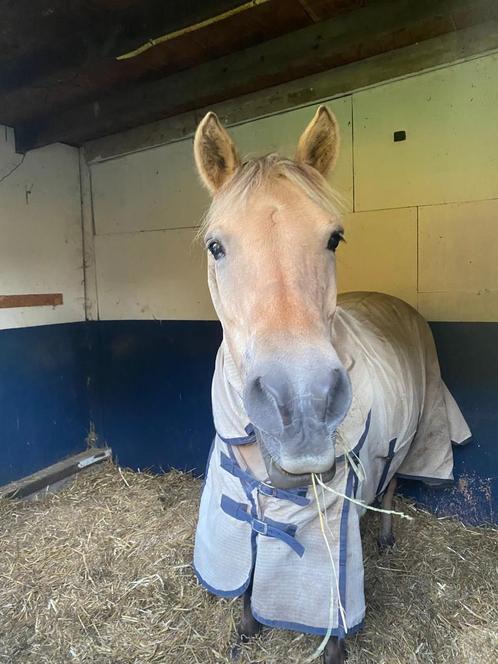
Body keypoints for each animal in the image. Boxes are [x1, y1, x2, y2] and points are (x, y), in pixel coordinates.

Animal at [192, 106, 470, 660]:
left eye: (333, 238)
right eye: (216, 246)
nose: (299, 405)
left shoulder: (332, 519)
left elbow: (335, 597)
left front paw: (335, 649)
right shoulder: (237, 506)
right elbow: (247, 570)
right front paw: (246, 627)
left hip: (411, 437)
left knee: (391, 484)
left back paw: (385, 536)